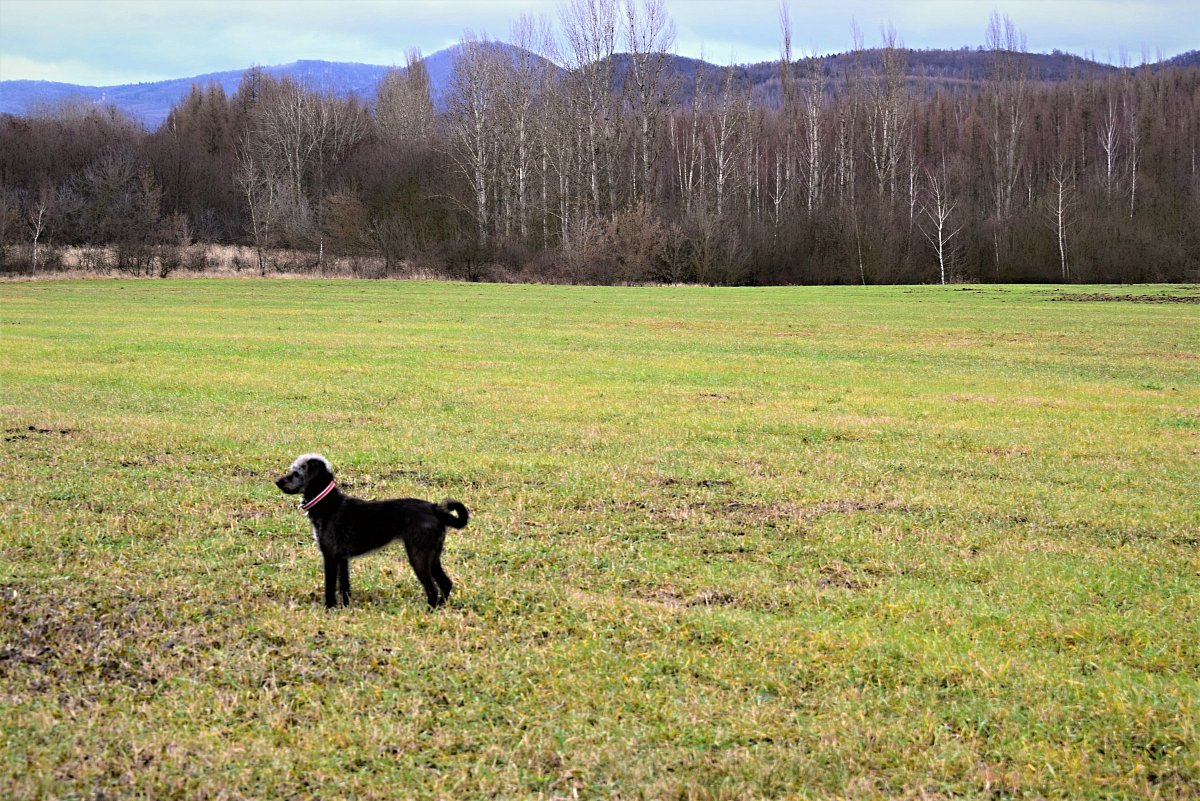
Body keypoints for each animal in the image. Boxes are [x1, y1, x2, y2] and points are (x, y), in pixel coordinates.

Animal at [276, 453, 468, 609]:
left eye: (296, 473)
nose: (277, 481)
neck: (328, 502)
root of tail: (435, 509)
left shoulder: (330, 557)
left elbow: (330, 587)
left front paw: (329, 609)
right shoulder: (342, 559)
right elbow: (344, 587)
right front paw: (345, 608)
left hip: (418, 557)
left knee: (432, 589)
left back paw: (429, 610)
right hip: (432, 556)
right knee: (446, 583)